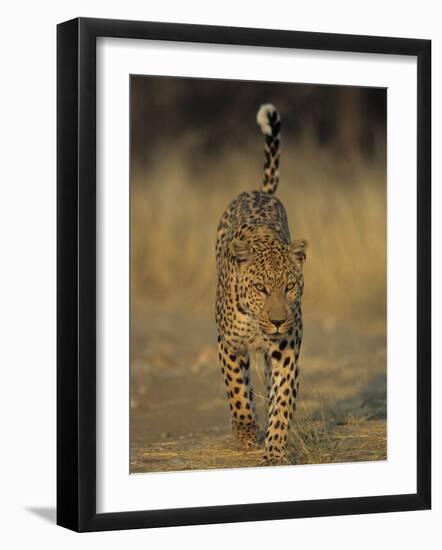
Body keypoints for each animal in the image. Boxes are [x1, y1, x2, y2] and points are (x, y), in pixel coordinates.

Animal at [215, 103, 306, 466]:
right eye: (260, 289)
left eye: (290, 287)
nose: (279, 321)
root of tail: (260, 192)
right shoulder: (228, 343)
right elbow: (237, 392)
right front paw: (245, 432)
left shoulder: (286, 349)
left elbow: (282, 402)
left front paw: (275, 449)